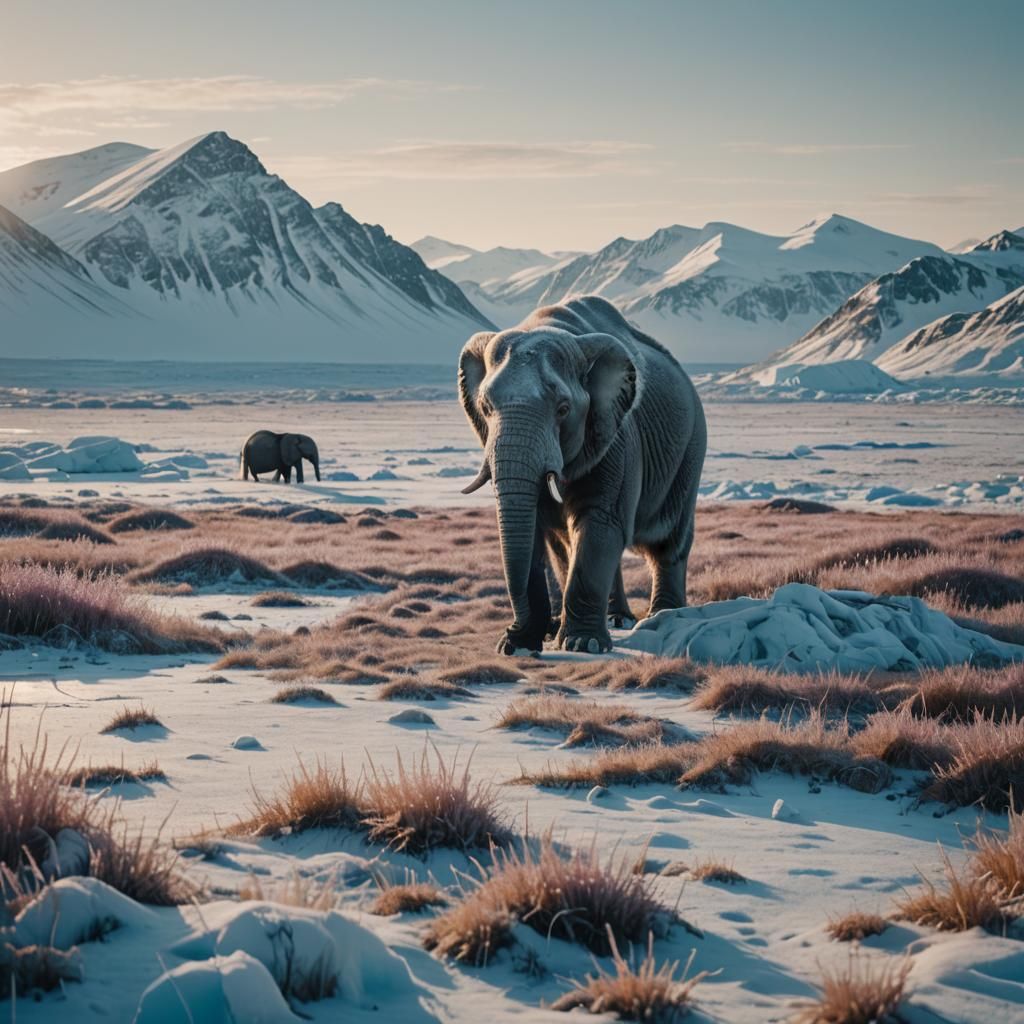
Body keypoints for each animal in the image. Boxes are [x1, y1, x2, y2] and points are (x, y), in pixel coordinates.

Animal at [458, 295, 707, 656]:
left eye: (563, 409)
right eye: (486, 408)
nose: (511, 632)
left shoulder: (617, 438)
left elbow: (600, 521)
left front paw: (582, 644)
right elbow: (541, 532)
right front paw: (521, 643)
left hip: (690, 448)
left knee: (668, 540)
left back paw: (664, 616)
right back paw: (614, 620)